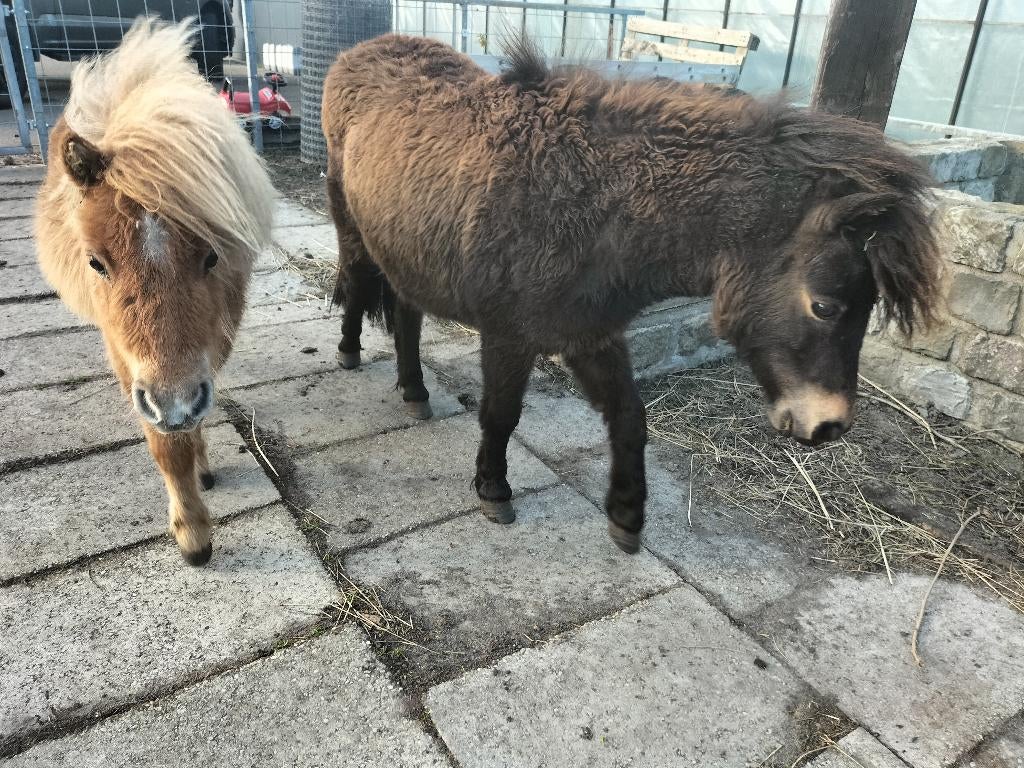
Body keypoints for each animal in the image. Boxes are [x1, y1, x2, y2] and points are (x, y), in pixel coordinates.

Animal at [35, 18, 274, 566]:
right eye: (96, 263)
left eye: (212, 256)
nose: (174, 405)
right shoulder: (132, 363)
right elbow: (167, 447)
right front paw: (193, 534)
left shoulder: (212, 336)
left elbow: (196, 412)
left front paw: (199, 469)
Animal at [322, 35, 940, 554]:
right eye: (825, 306)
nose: (831, 426)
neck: (594, 206)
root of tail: (359, 51)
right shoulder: (510, 335)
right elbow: (500, 414)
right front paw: (493, 490)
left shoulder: (591, 334)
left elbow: (629, 419)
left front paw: (626, 516)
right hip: (353, 227)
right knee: (355, 283)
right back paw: (350, 352)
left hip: (405, 249)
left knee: (405, 313)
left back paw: (414, 389)